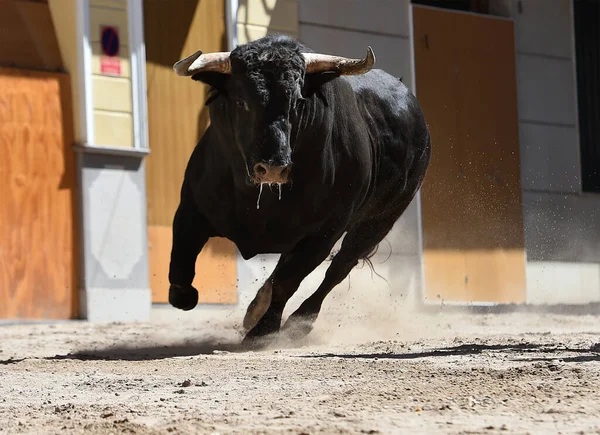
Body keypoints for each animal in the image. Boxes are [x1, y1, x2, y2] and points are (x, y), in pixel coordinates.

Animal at [168, 35, 432, 346]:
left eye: (296, 103)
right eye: (241, 101)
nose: (272, 167)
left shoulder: (324, 232)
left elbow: (290, 281)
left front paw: (264, 330)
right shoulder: (191, 208)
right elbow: (181, 260)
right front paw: (185, 296)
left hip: (378, 222)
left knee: (339, 267)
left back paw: (299, 321)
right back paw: (254, 310)